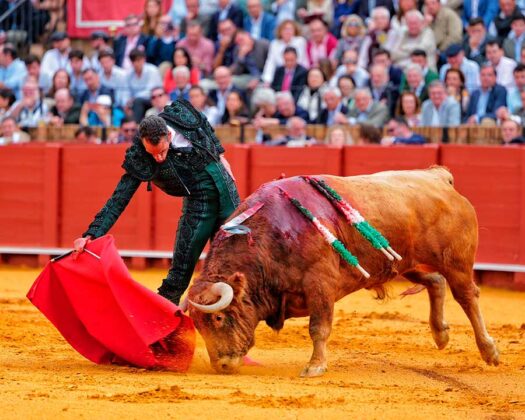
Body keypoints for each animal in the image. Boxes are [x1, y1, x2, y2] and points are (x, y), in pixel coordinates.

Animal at [186, 167, 500, 377]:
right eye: (198, 325)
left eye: (218, 318)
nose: (222, 365)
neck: (269, 237)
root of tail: (438, 177)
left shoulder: (320, 284)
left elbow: (318, 327)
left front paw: (315, 366)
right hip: (404, 263)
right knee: (435, 281)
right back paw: (441, 335)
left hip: (456, 263)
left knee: (467, 296)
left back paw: (489, 350)